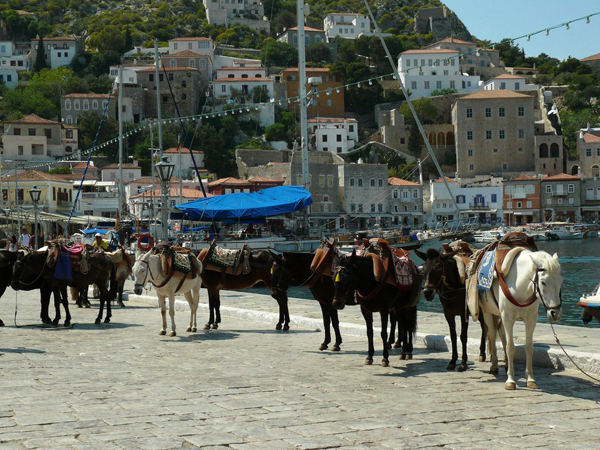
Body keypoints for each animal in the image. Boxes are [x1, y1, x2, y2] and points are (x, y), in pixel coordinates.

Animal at [480, 250, 560, 390]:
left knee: (501, 334)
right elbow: (510, 347)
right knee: (492, 334)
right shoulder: (507, 318)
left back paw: (507, 364)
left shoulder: (531, 320)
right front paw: (510, 380)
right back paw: (494, 365)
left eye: (561, 281)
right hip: (487, 312)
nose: (555, 313)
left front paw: (530, 379)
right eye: (543, 282)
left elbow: (529, 347)